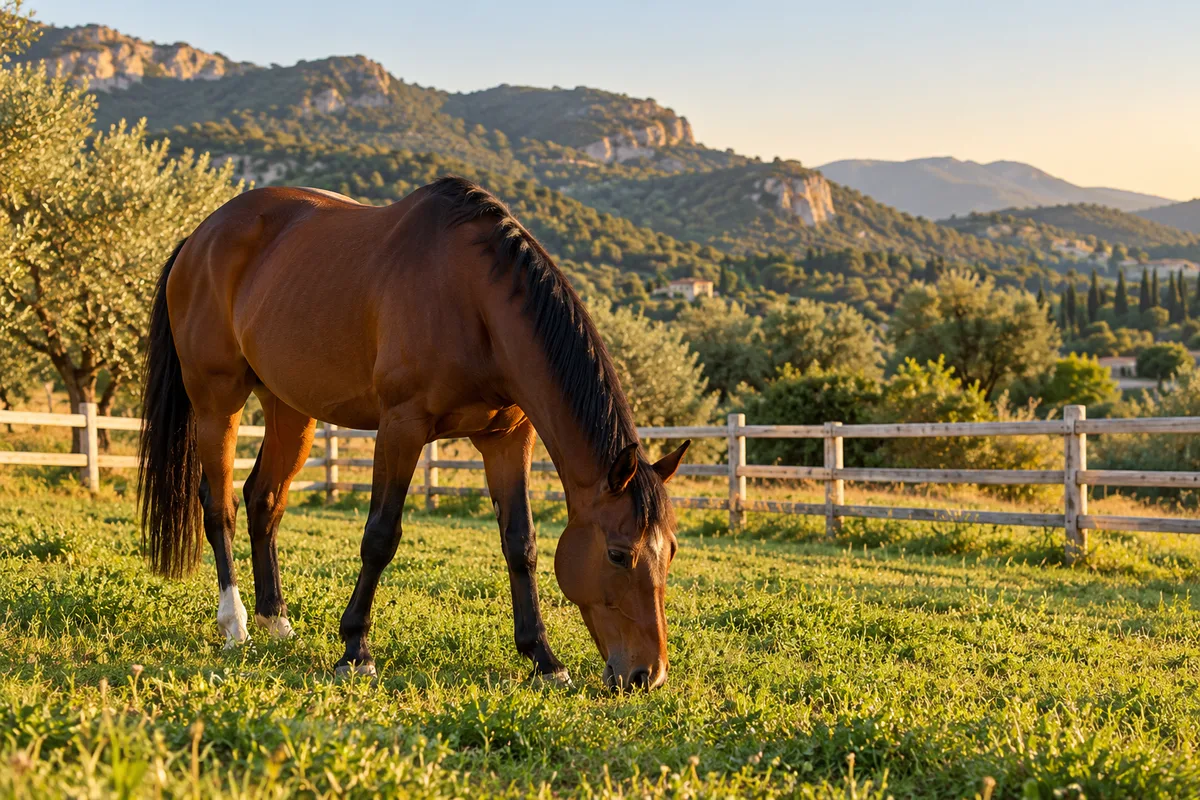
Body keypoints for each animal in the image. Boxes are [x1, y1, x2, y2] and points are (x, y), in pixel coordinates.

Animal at [137, 176, 690, 690]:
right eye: (618, 554)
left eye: (671, 551)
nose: (648, 674)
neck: (473, 298)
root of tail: (199, 238)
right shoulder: (401, 428)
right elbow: (380, 536)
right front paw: (355, 651)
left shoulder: (508, 439)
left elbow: (521, 544)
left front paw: (543, 659)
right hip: (217, 401)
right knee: (220, 507)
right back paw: (235, 624)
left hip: (290, 410)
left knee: (264, 500)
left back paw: (277, 621)